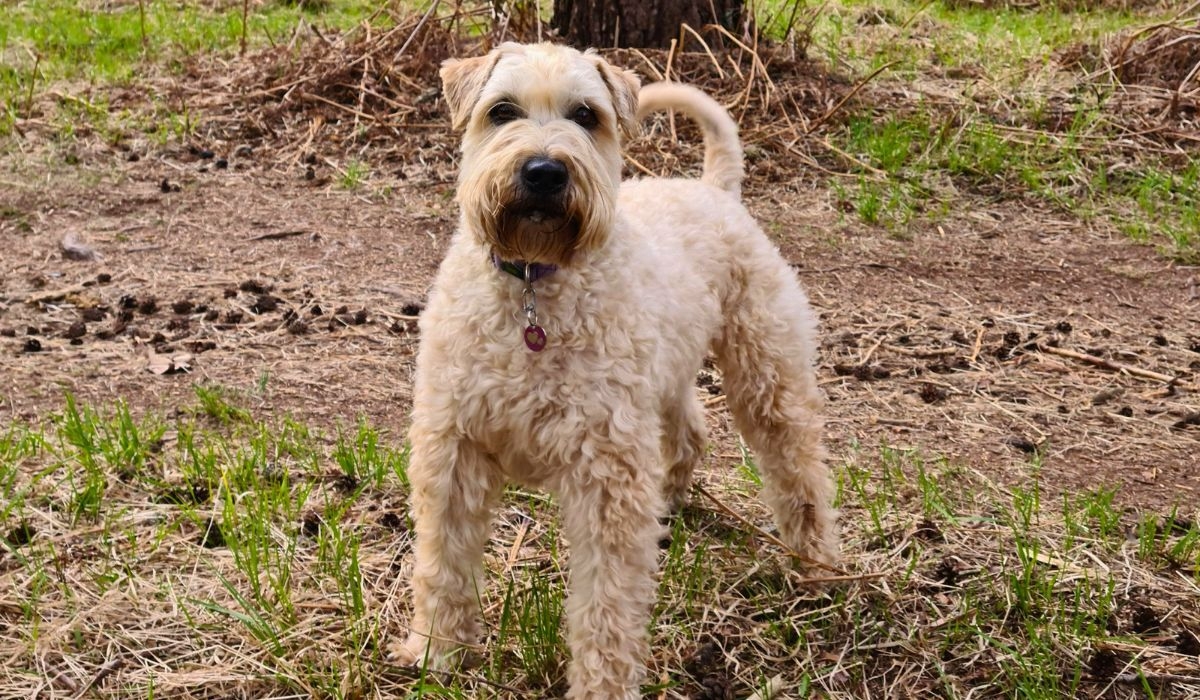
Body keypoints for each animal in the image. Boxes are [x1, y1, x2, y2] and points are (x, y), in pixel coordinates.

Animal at [393, 43, 835, 700]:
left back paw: (818, 567)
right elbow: (443, 564)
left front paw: (602, 685)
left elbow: (606, 603)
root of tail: (717, 190)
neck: (534, 287)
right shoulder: (453, 450)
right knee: (689, 433)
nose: (544, 171)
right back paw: (670, 507)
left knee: (798, 469)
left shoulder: (606, 474)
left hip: (767, 373)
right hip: (665, 380)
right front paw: (435, 651)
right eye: (502, 110)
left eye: (587, 114)